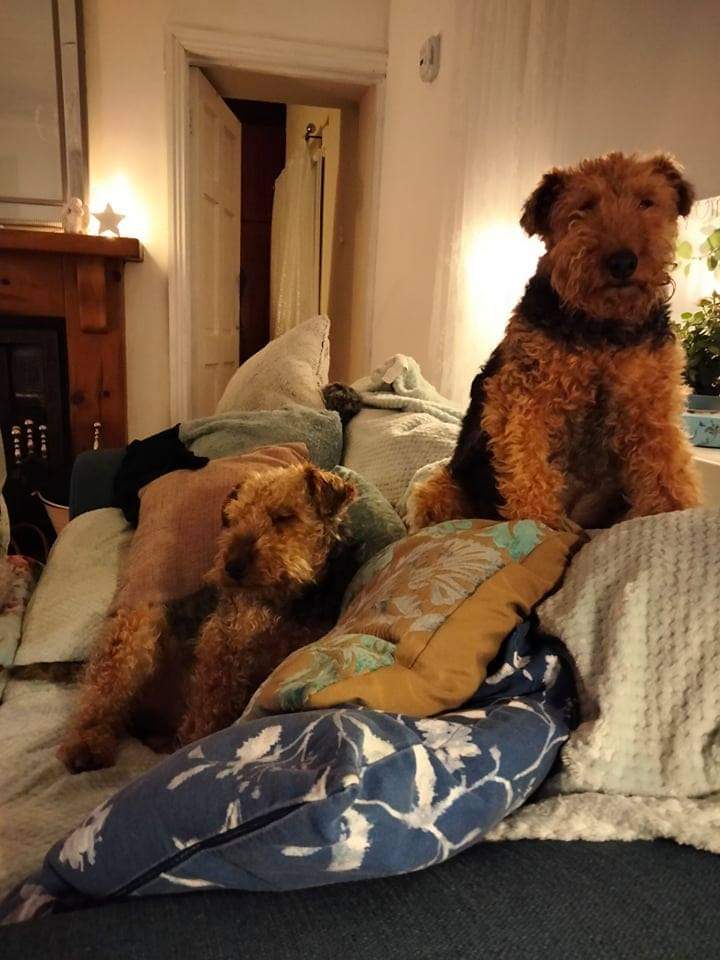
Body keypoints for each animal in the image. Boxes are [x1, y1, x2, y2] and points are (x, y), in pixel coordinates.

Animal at [58, 464, 357, 773]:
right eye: (234, 520)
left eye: (283, 516)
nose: (232, 567)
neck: (283, 602)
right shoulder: (222, 645)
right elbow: (211, 707)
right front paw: (197, 745)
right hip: (136, 631)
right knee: (98, 703)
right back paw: (86, 747)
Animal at [408, 152, 701, 533]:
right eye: (584, 206)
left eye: (647, 201)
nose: (623, 262)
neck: (603, 328)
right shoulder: (525, 398)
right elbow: (528, 466)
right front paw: (539, 522)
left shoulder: (650, 403)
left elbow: (666, 466)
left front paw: (675, 512)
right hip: (443, 488)